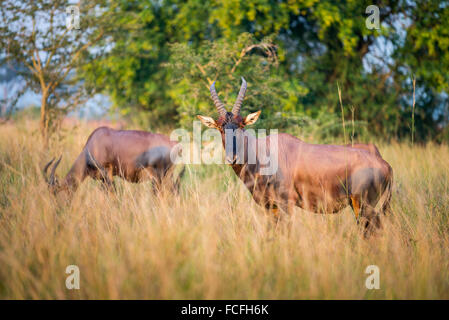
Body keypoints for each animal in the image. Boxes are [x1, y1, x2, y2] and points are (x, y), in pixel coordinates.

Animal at [42, 126, 182, 196]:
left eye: (55, 192)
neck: (95, 142)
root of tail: (173, 143)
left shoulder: (107, 173)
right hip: (168, 176)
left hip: (159, 177)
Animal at [198, 79, 390, 236]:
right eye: (220, 127)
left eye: (241, 125)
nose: (233, 158)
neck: (263, 152)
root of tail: (385, 164)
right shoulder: (271, 207)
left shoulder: (286, 204)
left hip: (363, 206)